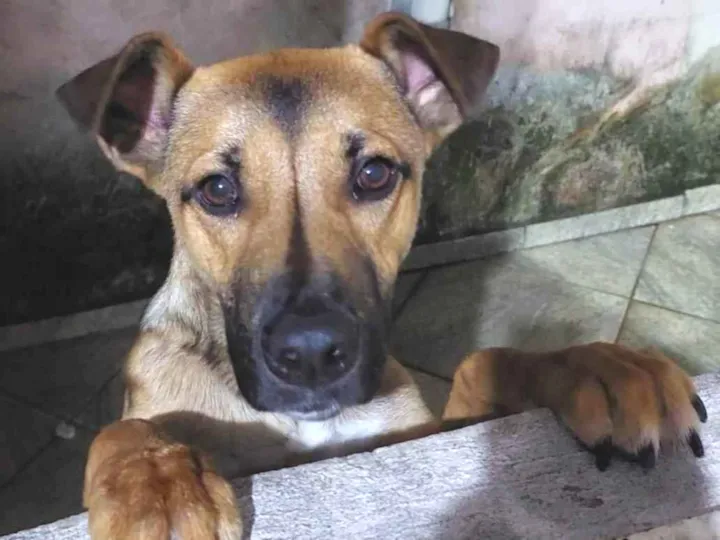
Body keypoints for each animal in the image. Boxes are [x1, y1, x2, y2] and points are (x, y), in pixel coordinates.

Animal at [56, 11, 707, 539]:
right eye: (217, 190)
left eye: (374, 174)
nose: (312, 356)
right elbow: (124, 431)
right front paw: (157, 484)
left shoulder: (416, 434)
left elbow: (483, 362)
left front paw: (599, 367)